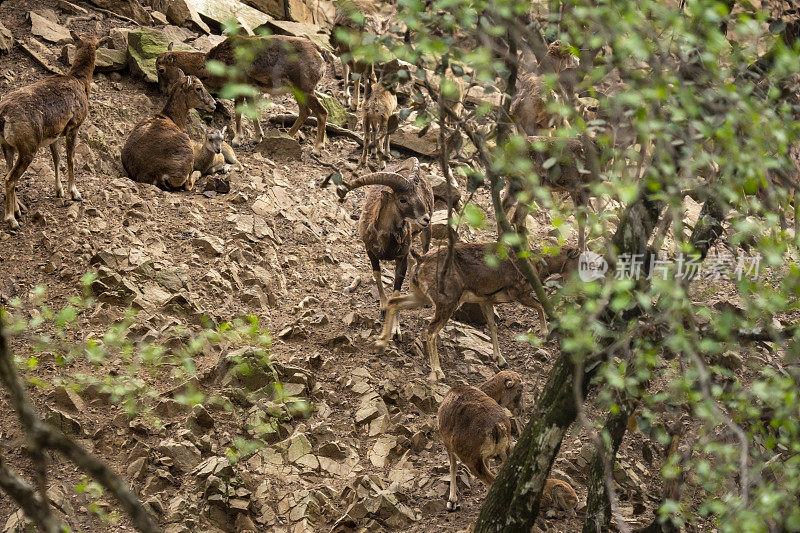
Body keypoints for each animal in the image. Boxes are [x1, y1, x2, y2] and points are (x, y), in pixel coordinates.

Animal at [0, 31, 103, 227]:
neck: (81, 84)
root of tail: (3, 116)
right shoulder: (74, 126)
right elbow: (70, 159)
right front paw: (75, 193)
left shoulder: (54, 135)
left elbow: (57, 159)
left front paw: (59, 191)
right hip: (28, 147)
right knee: (10, 178)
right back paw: (12, 220)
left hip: (7, 145)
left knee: (7, 172)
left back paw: (17, 210)